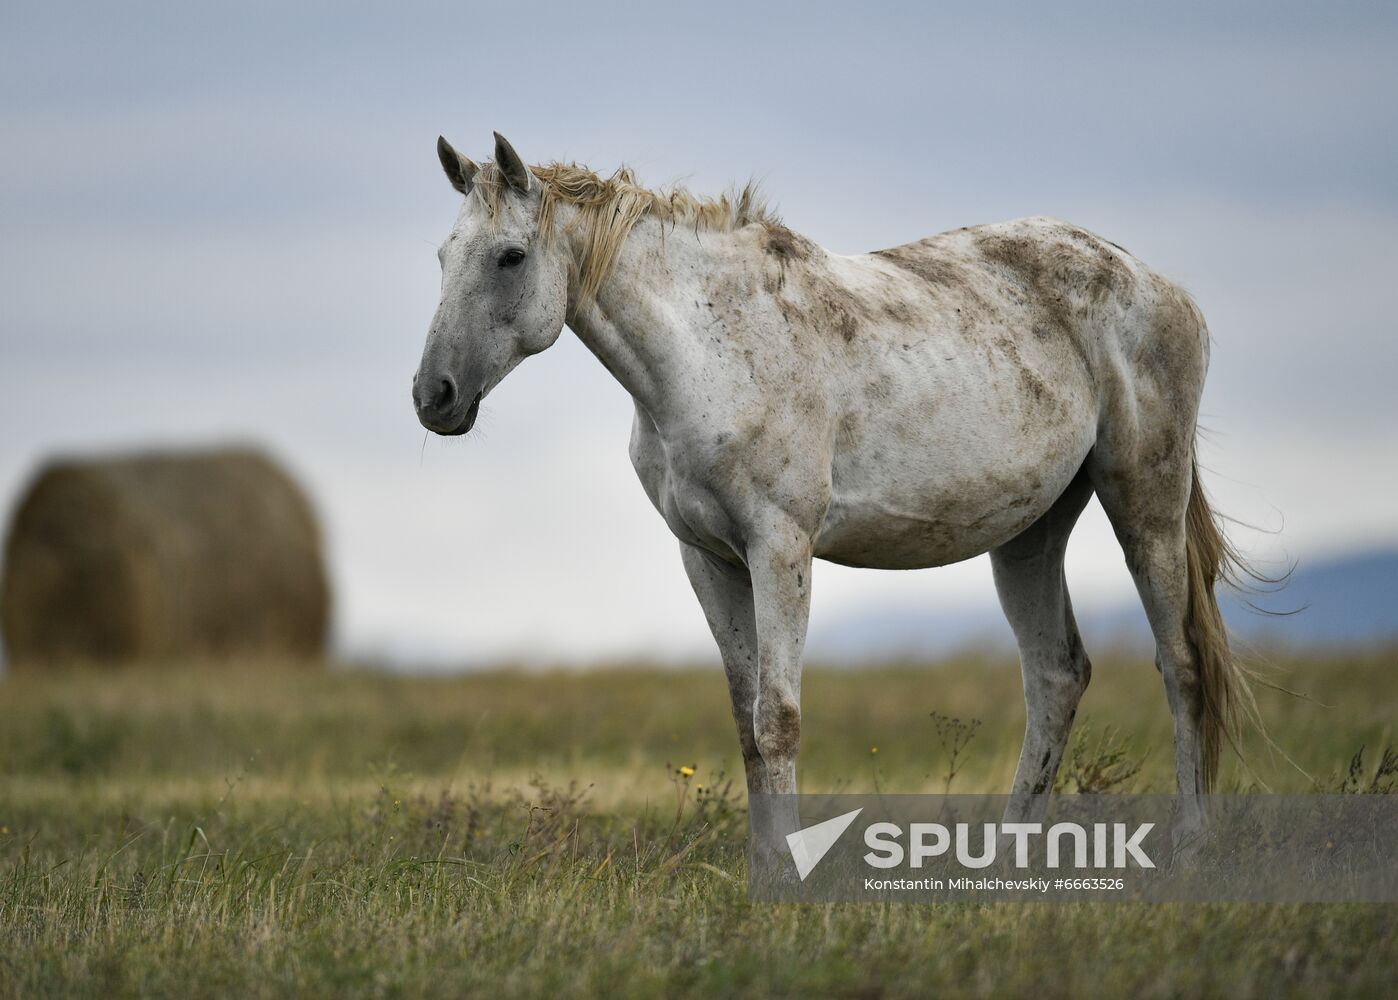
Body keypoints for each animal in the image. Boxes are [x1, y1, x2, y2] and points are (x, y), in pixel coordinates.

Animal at [408, 132, 1252, 850]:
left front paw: (786, 878)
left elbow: (777, 719)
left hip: (1144, 503)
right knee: (1055, 677)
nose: (433, 396)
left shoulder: (780, 548)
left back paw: (1191, 848)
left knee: (1181, 666)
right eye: (445, 255)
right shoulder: (707, 558)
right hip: (1029, 534)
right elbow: (747, 726)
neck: (706, 353)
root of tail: (1156, 282)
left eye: (510, 256)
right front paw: (764, 869)